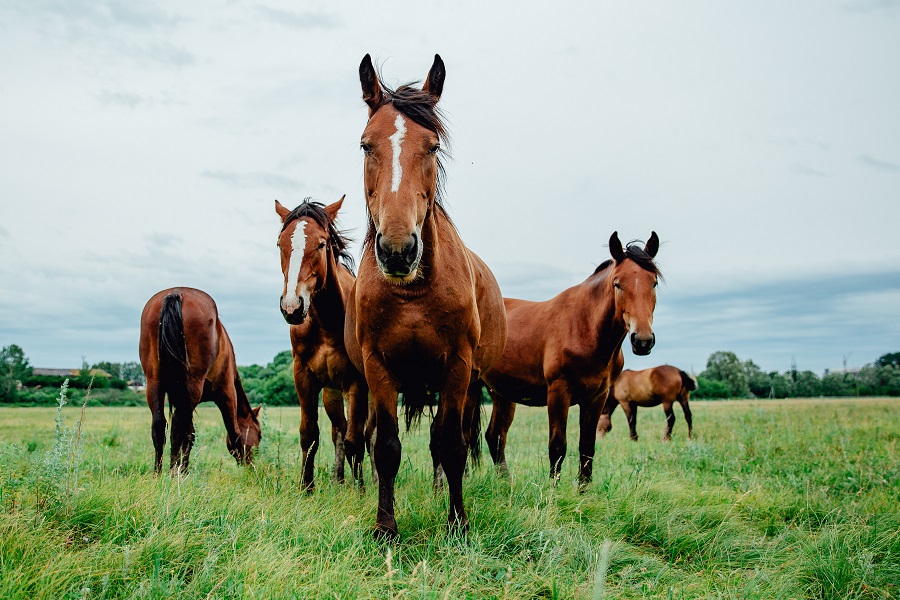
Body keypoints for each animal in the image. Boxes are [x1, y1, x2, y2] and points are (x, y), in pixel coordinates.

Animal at [138, 288, 260, 474]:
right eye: (259, 434)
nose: (251, 465)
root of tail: (176, 293)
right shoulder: (227, 393)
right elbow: (234, 432)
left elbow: (190, 433)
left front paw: (184, 469)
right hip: (192, 387)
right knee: (177, 428)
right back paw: (174, 473)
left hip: (154, 383)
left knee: (160, 426)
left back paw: (157, 474)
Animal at [276, 196, 370, 488]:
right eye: (280, 244)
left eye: (321, 243)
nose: (292, 307)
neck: (328, 324)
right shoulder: (304, 377)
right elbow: (310, 434)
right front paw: (306, 487)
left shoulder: (357, 384)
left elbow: (356, 441)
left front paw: (360, 489)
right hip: (332, 393)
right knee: (338, 430)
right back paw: (338, 479)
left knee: (369, 434)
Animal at [342, 55, 506, 540]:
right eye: (366, 146)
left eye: (432, 147)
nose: (398, 249)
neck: (413, 292)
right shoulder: (378, 367)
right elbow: (386, 447)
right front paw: (385, 527)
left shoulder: (458, 367)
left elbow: (451, 444)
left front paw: (458, 523)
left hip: (469, 385)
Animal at [486, 232, 660, 486]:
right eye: (617, 283)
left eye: (654, 282)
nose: (643, 340)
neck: (584, 327)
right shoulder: (559, 392)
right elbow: (557, 446)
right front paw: (553, 490)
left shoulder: (597, 397)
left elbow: (587, 447)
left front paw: (584, 491)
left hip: (502, 394)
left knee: (495, 436)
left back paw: (505, 484)